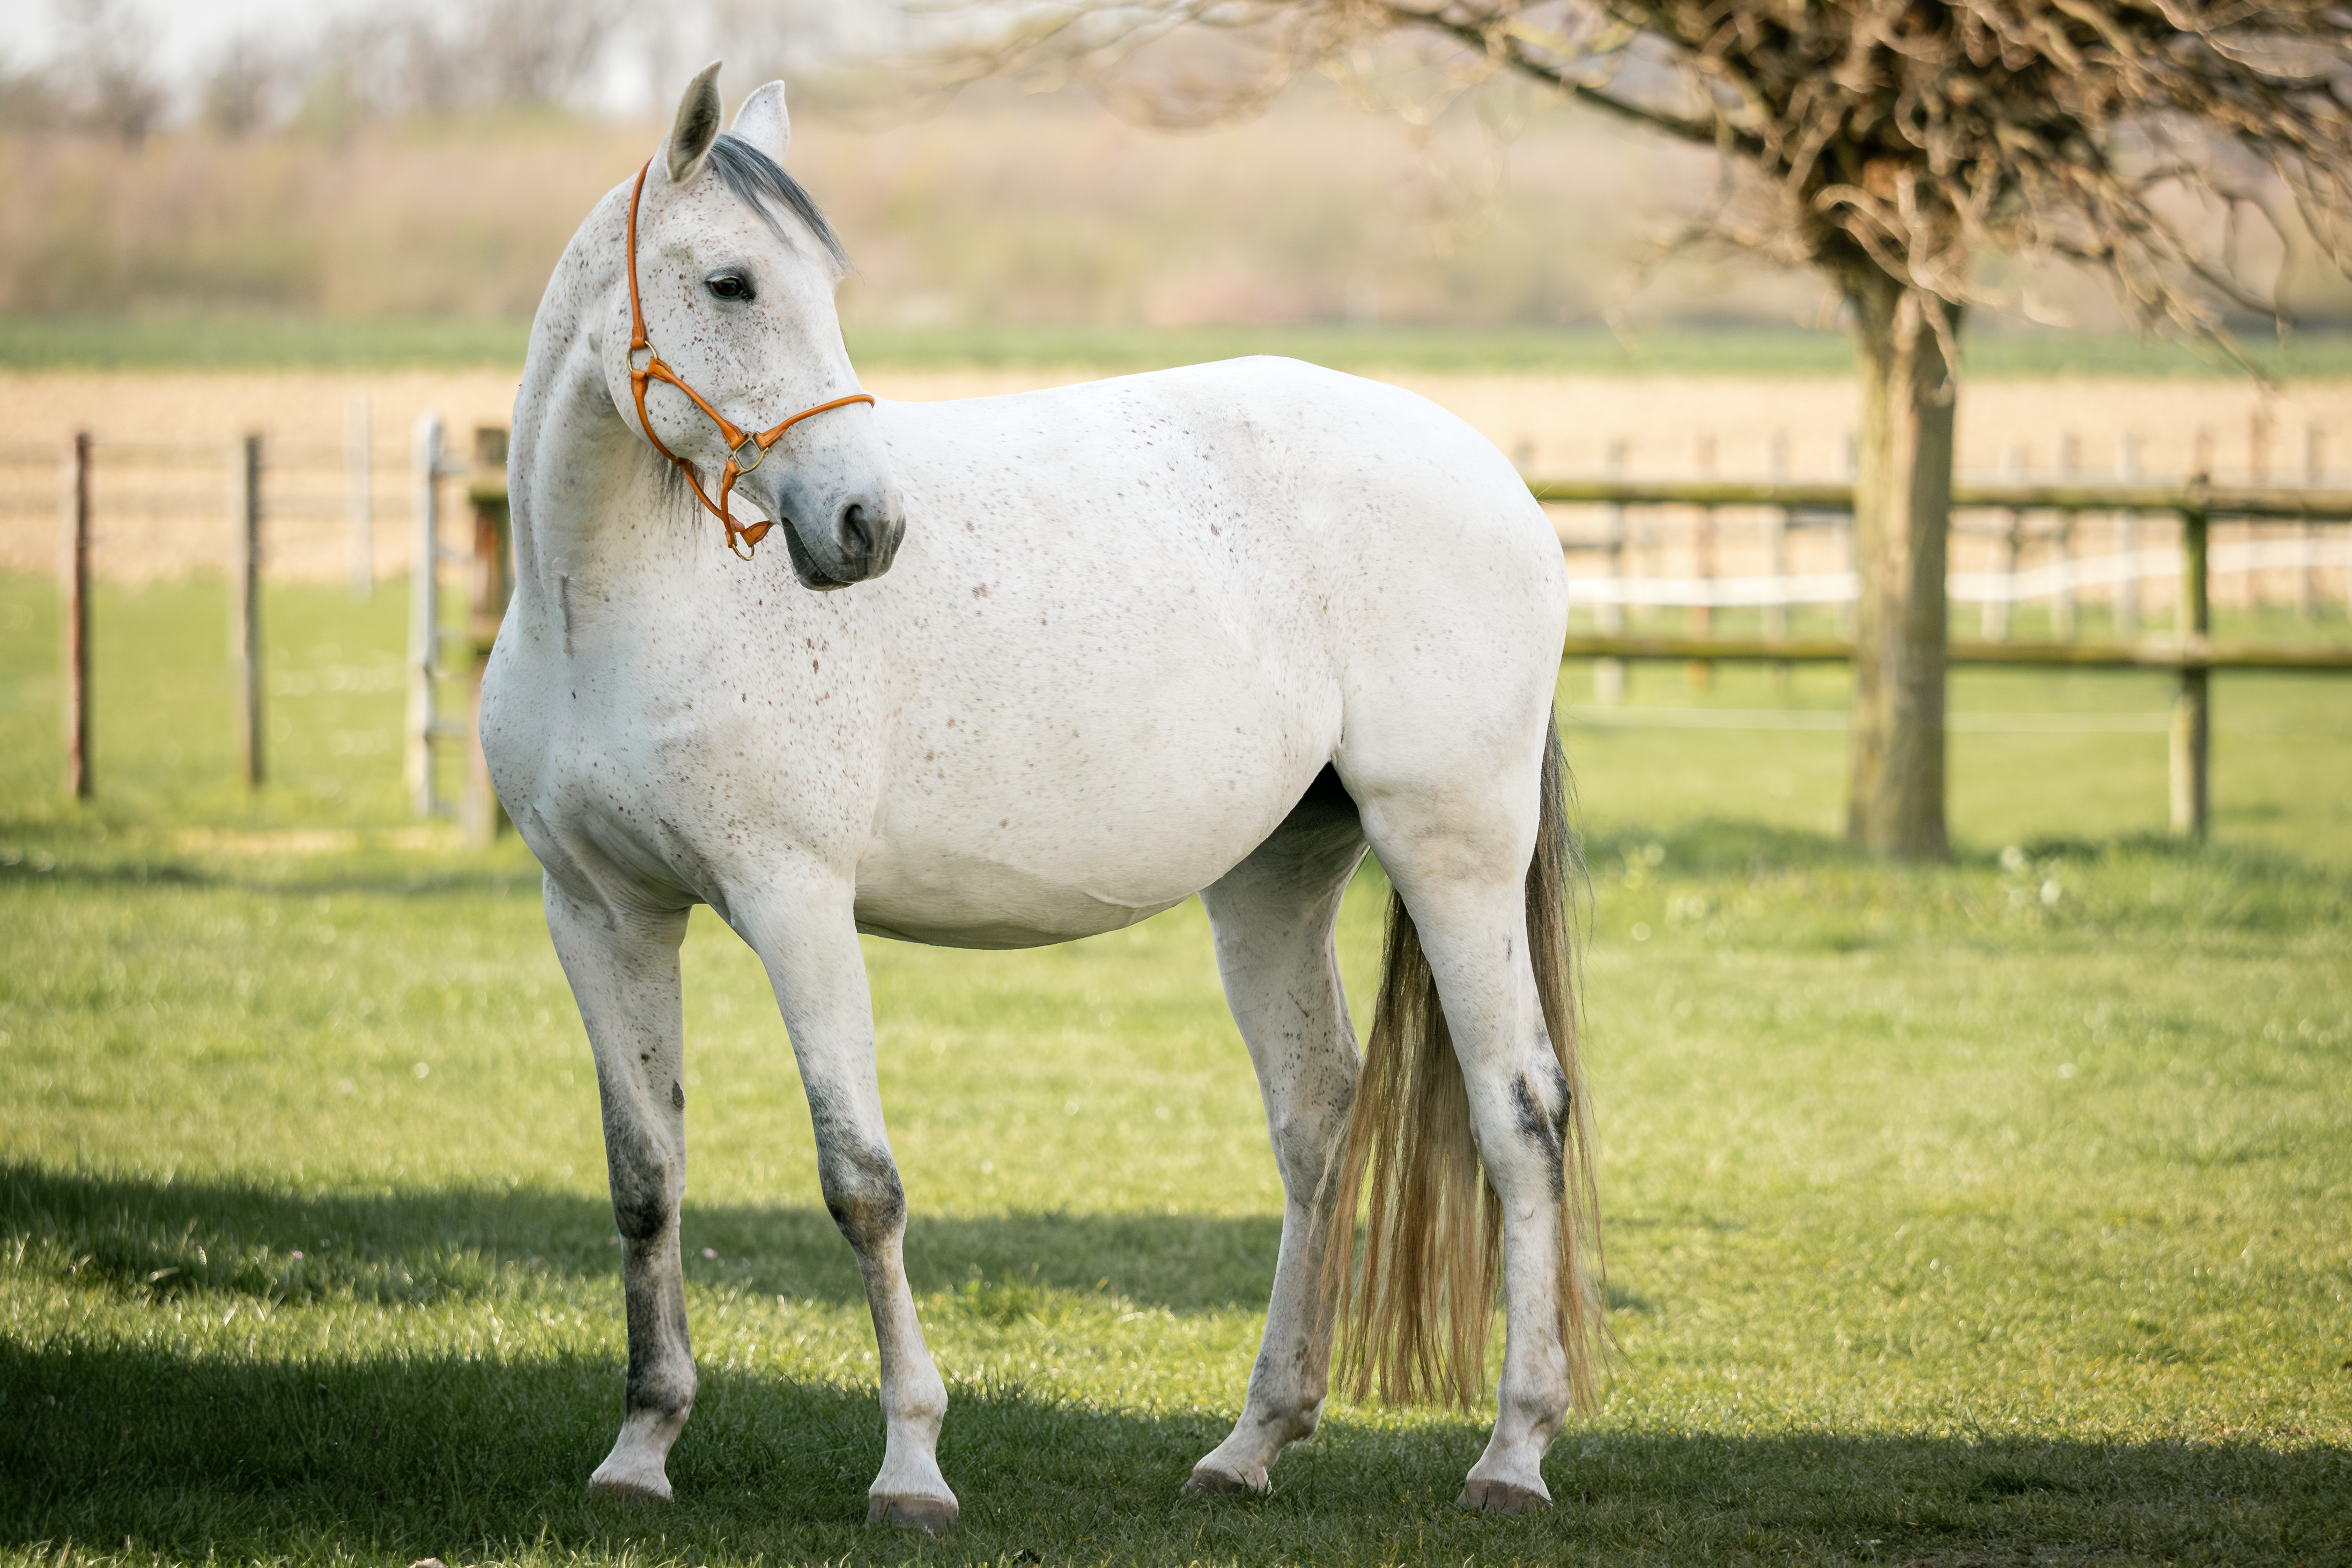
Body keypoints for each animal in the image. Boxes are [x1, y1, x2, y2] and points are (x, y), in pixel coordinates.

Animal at [482, 62, 1602, 1534]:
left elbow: (861, 1183)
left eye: (818, 283)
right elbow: (644, 1182)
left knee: (1518, 1112)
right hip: (1275, 878)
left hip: (1452, 850)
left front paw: (910, 1467)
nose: (866, 526)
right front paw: (641, 1447)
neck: (616, 608)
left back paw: (1514, 1450)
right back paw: (1250, 1441)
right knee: (1313, 1117)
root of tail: (1503, 484)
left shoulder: (795, 903)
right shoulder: (599, 914)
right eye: (731, 283)